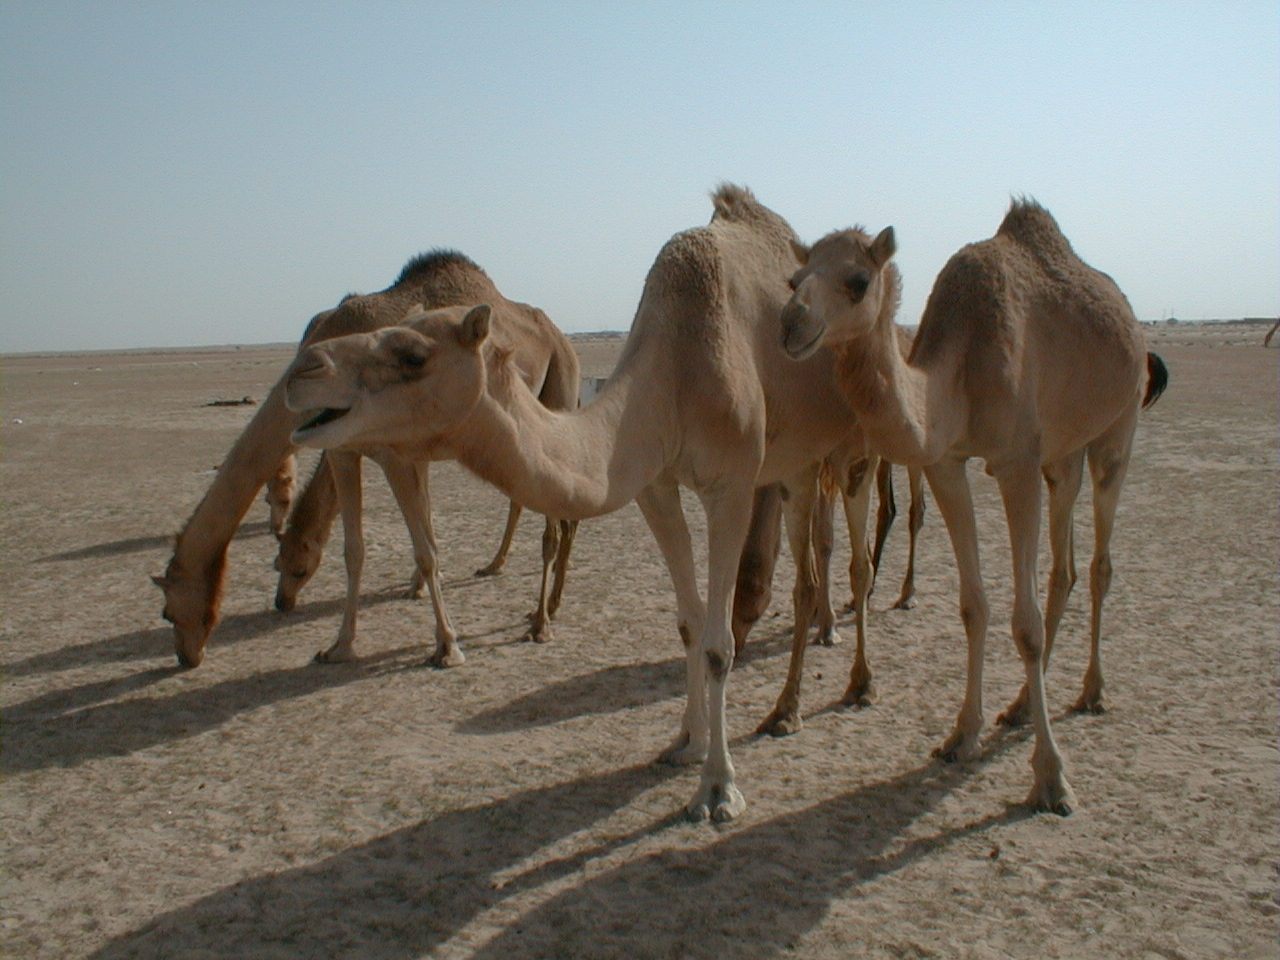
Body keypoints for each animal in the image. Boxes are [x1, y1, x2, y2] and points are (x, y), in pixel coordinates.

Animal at [154, 251, 578, 668]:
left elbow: (425, 548)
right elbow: (358, 549)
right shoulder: (348, 450)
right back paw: (508, 573)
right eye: (278, 565)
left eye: (169, 612)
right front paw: (341, 645)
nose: (186, 656)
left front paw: (446, 645)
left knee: (555, 519)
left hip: (560, 384)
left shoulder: (394, 454)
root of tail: (559, 336)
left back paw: (541, 621)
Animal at [281, 186, 897, 821]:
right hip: (797, 465)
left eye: (411, 355)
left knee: (849, 562)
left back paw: (848, 689)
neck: (676, 370)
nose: (303, 369)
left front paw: (718, 789)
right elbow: (690, 623)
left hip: (852, 445)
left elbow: (719, 643)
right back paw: (790, 703)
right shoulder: (654, 485)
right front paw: (685, 743)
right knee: (811, 569)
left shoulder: (731, 483)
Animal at [779, 199, 1169, 814]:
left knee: (1100, 564)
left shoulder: (1015, 462)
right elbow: (973, 605)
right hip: (1063, 455)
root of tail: (1131, 321)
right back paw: (1019, 706)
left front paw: (1052, 779)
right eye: (795, 279)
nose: (790, 324)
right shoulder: (947, 462)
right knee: (1064, 568)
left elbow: (1024, 623)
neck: (957, 371)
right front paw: (962, 734)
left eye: (858, 281)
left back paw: (1092, 691)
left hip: (1117, 428)